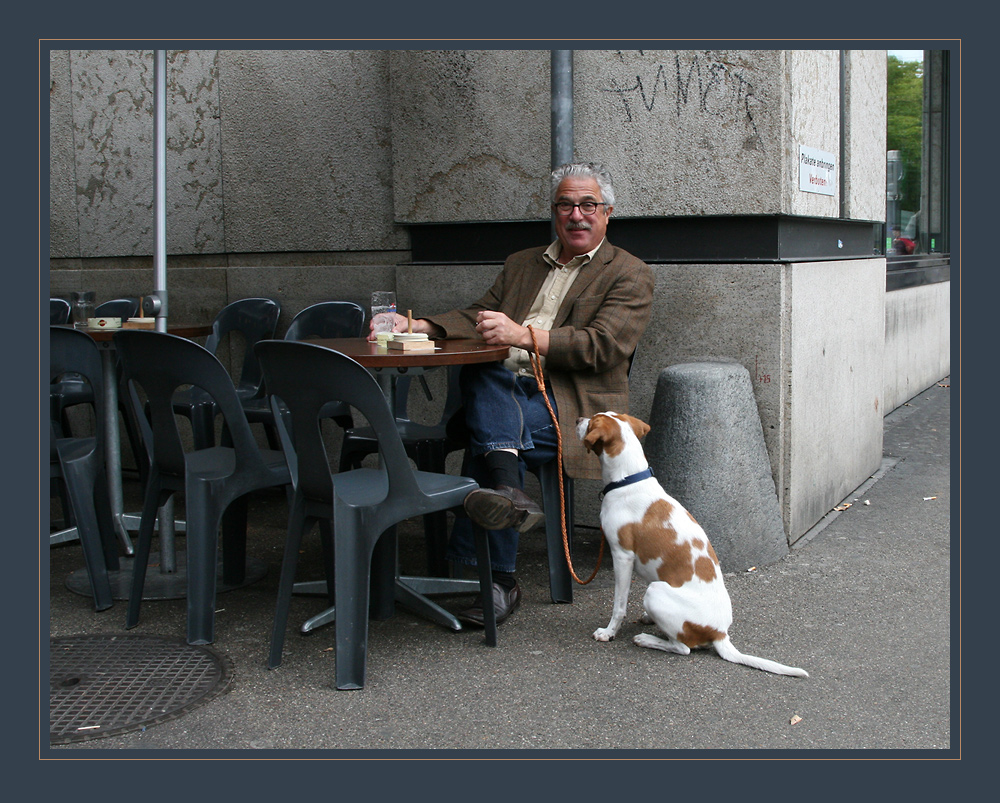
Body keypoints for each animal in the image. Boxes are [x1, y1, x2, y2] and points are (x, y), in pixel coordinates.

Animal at [580, 408, 804, 680]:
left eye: (591, 422)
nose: (577, 419)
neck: (629, 479)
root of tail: (720, 633)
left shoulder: (622, 556)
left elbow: (618, 605)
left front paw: (609, 632)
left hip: (654, 591)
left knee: (683, 648)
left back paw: (647, 639)